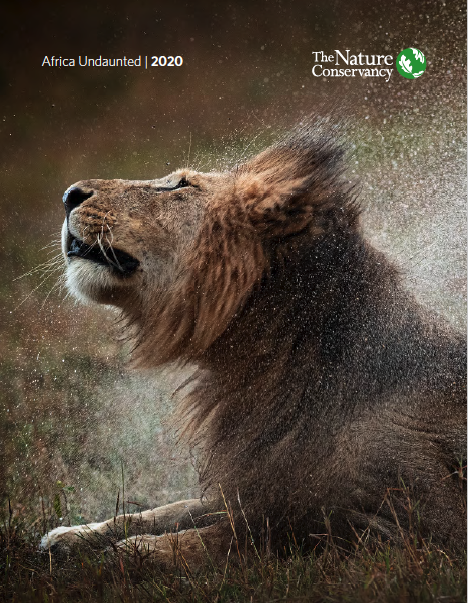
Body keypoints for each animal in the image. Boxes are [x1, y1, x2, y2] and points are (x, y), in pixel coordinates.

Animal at [41, 120, 468, 568]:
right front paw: (75, 534)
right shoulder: (246, 481)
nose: (69, 195)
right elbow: (169, 510)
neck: (268, 363)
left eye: (180, 185)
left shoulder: (414, 528)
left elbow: (245, 536)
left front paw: (128, 555)